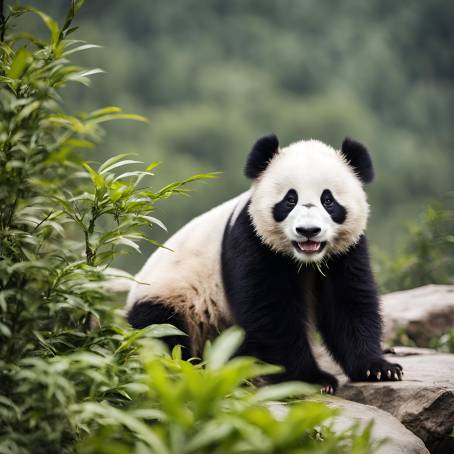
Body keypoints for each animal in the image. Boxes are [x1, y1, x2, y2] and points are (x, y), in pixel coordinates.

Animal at [126, 133, 402, 392]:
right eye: (290, 200)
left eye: (328, 200)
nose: (308, 231)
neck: (304, 260)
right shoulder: (252, 240)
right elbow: (270, 311)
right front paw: (312, 379)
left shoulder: (345, 251)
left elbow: (348, 301)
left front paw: (379, 368)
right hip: (173, 296)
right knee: (163, 330)